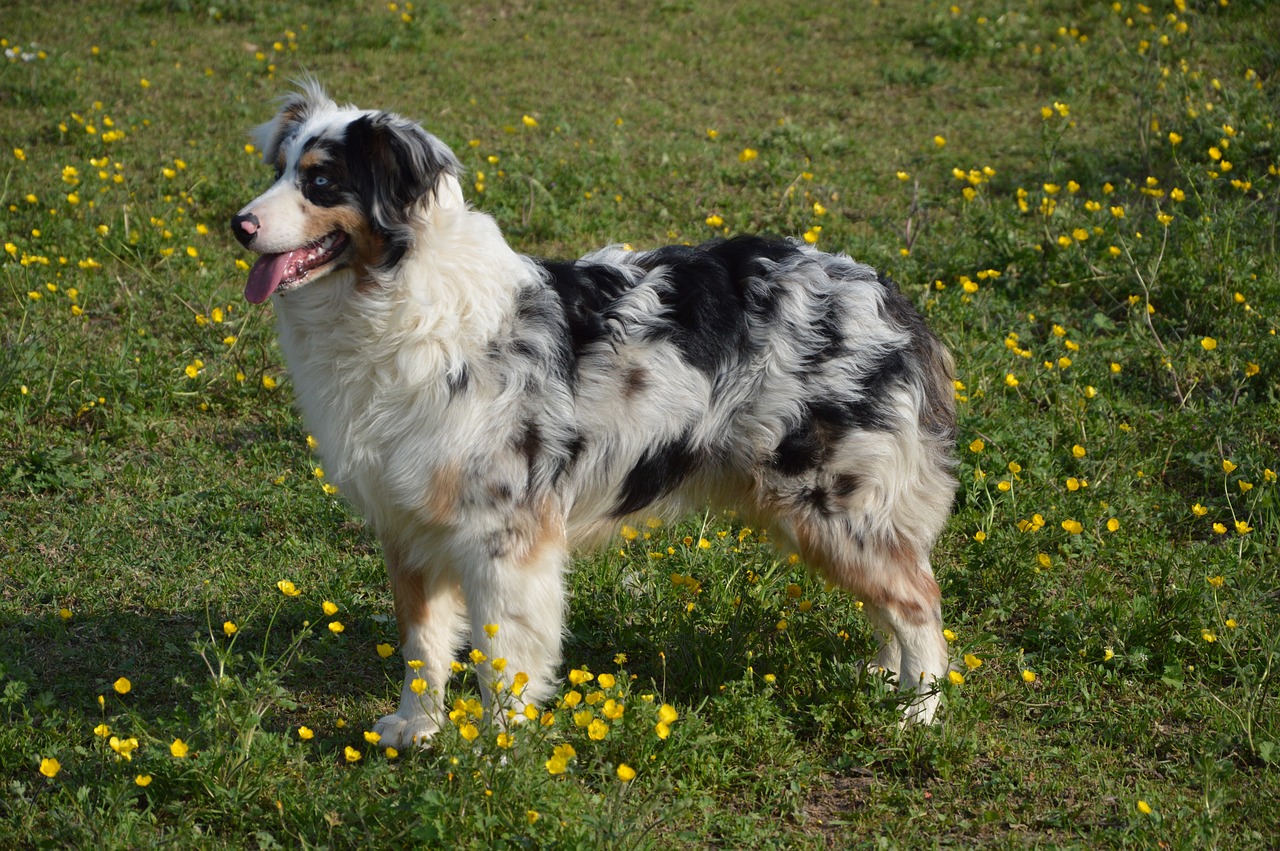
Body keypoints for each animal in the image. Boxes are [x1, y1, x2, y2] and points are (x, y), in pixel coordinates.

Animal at [230, 81, 957, 742]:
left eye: (322, 180)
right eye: (279, 169)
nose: (238, 225)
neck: (399, 301)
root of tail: (887, 294)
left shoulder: (504, 536)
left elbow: (501, 660)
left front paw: (493, 757)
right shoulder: (407, 524)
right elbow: (423, 646)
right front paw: (417, 728)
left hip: (835, 505)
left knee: (919, 599)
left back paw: (916, 711)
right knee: (897, 596)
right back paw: (885, 675)